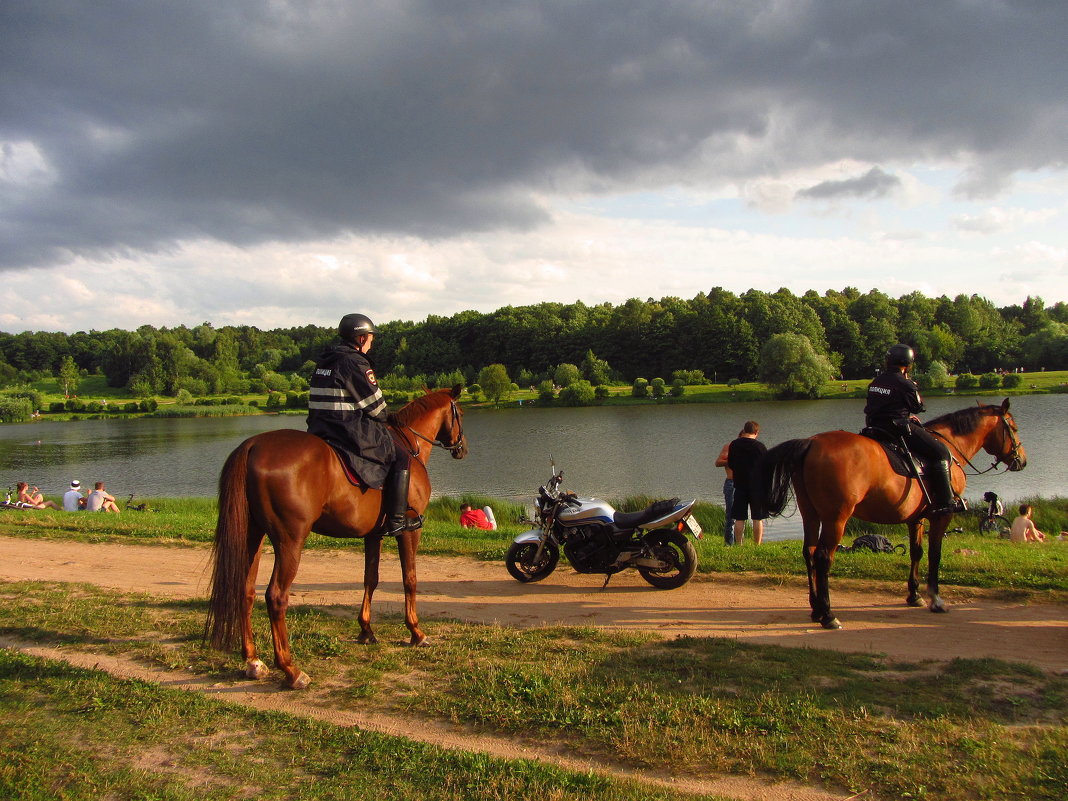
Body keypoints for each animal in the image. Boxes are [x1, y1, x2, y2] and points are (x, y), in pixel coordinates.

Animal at [206, 386, 465, 692]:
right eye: (460, 413)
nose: (462, 447)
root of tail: (253, 445)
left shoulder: (373, 535)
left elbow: (370, 579)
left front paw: (366, 630)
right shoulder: (410, 530)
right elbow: (409, 579)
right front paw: (416, 631)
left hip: (252, 538)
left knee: (245, 592)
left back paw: (253, 661)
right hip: (289, 542)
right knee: (276, 597)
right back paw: (291, 670)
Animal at [760, 399, 1025, 632]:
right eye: (1013, 427)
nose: (1021, 460)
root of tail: (811, 443)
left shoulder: (916, 518)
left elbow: (917, 552)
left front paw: (914, 594)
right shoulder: (941, 516)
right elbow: (935, 554)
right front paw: (935, 599)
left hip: (811, 514)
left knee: (810, 553)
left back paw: (816, 609)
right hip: (836, 518)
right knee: (824, 557)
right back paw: (828, 615)